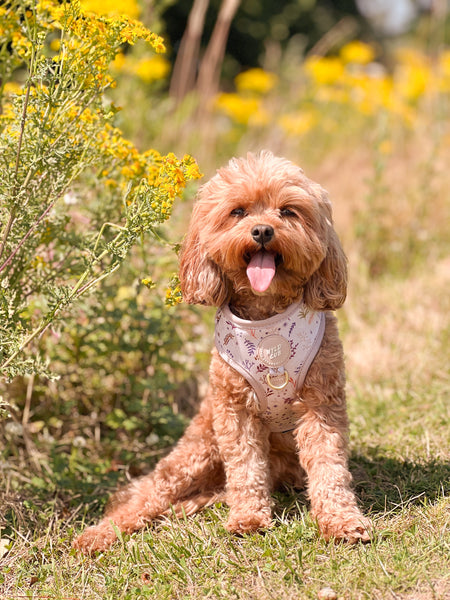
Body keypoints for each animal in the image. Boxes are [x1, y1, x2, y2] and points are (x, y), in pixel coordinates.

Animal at [73, 151, 370, 552]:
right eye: (238, 212)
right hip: (195, 452)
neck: (267, 317)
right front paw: (248, 519)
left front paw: (341, 521)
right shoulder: (234, 409)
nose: (262, 231)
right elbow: (245, 467)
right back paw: (100, 533)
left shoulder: (321, 404)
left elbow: (329, 467)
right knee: (147, 495)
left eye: (287, 211)